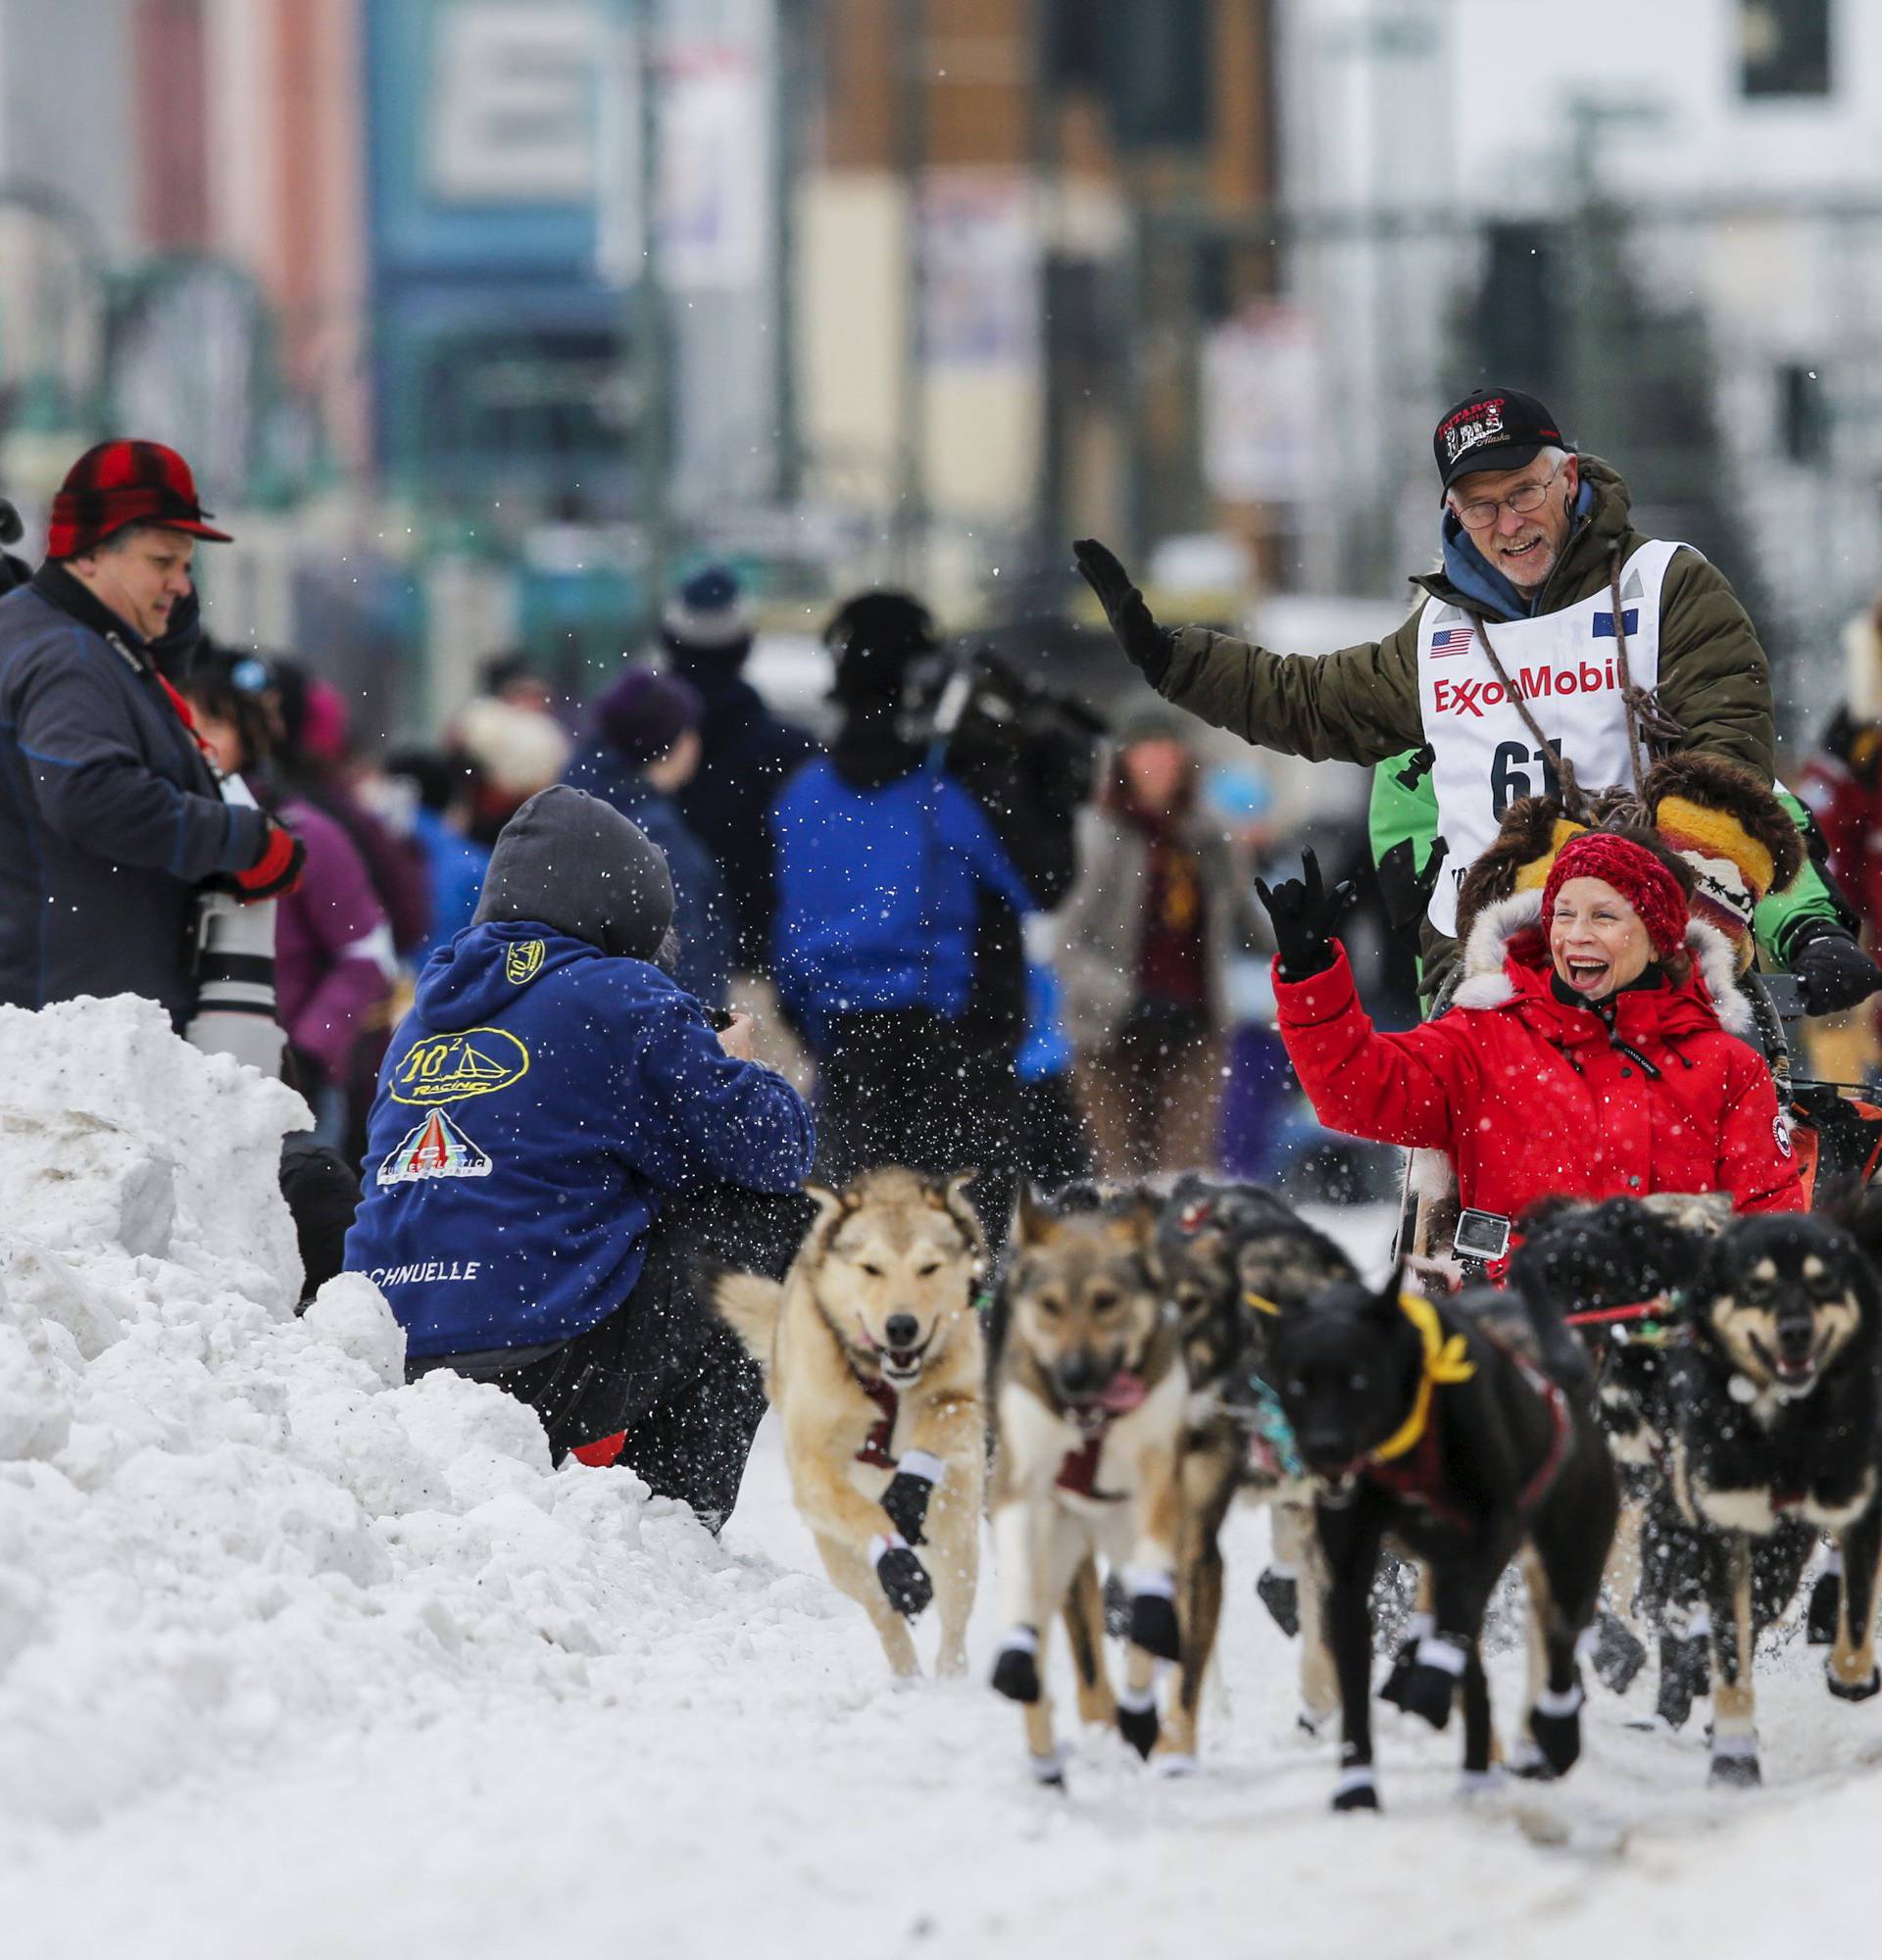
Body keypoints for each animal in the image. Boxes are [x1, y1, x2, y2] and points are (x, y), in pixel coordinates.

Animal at [714, 1168, 992, 1678]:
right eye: (870, 1268)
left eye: (929, 1267)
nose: (901, 1326)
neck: (883, 1380)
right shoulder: (813, 1466)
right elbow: (866, 1515)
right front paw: (895, 1551)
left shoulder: (965, 1396)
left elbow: (942, 1418)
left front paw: (907, 1490)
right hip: (843, 1562)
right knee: (884, 1614)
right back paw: (909, 1677)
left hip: (955, 1531)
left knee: (955, 1613)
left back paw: (950, 1678)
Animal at [1263, 1270, 1615, 1803]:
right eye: (1299, 1382)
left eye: (1359, 1379)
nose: (1325, 1449)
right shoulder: (1338, 1561)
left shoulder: (1484, 1543)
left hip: (1559, 1560)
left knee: (1549, 1643)